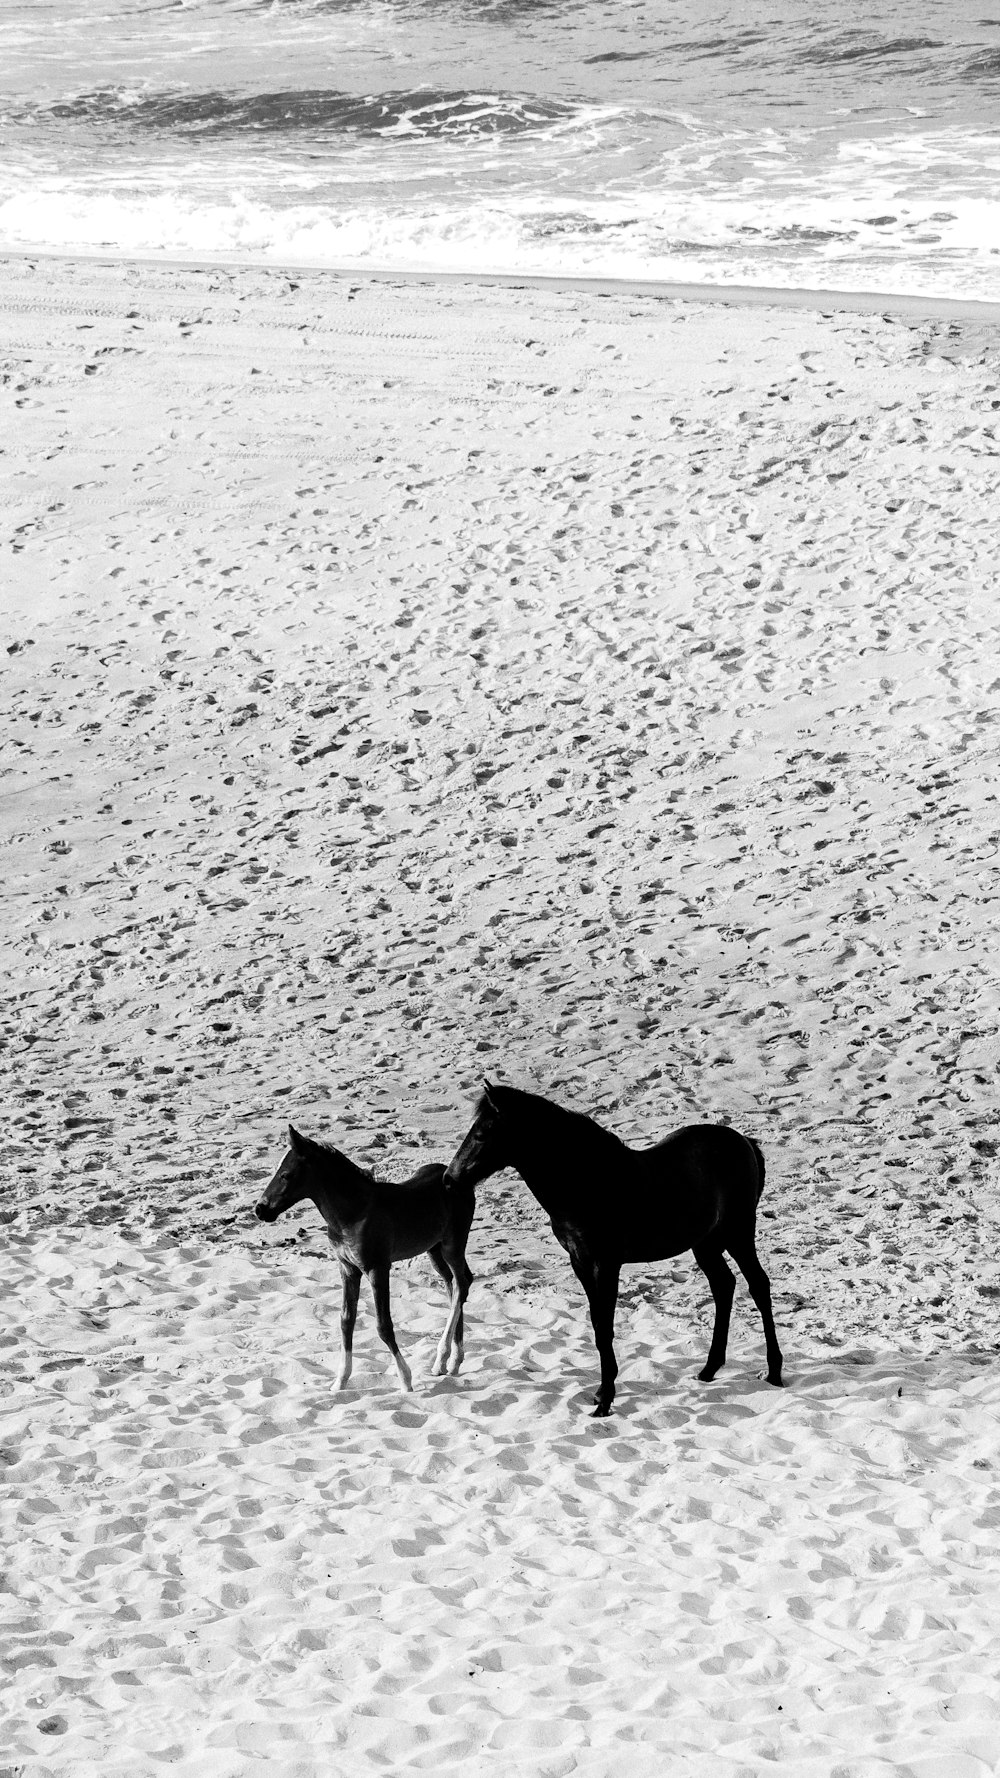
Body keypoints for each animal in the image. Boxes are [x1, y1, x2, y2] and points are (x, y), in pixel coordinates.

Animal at [256, 1130, 473, 1393]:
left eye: (286, 1175)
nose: (260, 1209)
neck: (353, 1213)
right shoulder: (348, 1269)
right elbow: (346, 1321)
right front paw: (340, 1380)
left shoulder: (377, 1268)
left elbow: (383, 1325)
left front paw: (405, 1380)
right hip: (434, 1250)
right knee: (454, 1285)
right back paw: (451, 1361)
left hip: (453, 1245)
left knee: (461, 1285)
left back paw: (442, 1357)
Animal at [441, 1081, 779, 1415]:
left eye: (483, 1132)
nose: (449, 1178)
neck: (590, 1182)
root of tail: (745, 1143)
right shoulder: (580, 1262)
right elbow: (597, 1324)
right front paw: (603, 1391)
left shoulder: (605, 1264)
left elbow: (605, 1326)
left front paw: (604, 1399)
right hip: (705, 1244)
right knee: (724, 1286)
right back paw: (709, 1369)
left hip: (738, 1234)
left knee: (758, 1286)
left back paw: (774, 1372)